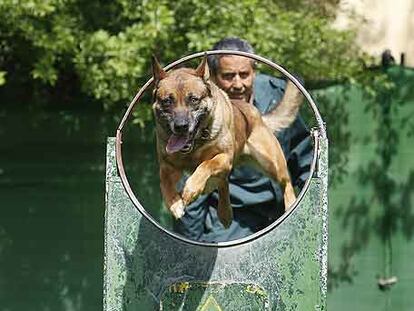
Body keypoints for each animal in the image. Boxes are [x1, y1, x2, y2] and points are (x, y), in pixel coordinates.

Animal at [152, 56, 304, 228]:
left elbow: (205, 165)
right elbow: (164, 183)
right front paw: (175, 204)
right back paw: (225, 213)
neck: (195, 147)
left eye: (193, 99)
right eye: (167, 101)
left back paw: (290, 203)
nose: (181, 126)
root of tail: (257, 114)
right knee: (223, 184)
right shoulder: (167, 166)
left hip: (272, 165)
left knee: (286, 182)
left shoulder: (224, 157)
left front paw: (191, 189)